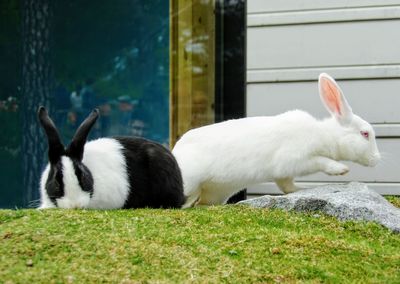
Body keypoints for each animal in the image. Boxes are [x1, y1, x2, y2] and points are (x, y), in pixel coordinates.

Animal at [173, 72, 382, 206]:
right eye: (365, 134)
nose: (377, 159)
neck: (323, 133)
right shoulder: (296, 160)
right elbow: (320, 161)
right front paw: (340, 169)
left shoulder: (284, 174)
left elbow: (286, 186)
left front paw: (300, 189)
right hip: (190, 183)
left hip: (216, 192)